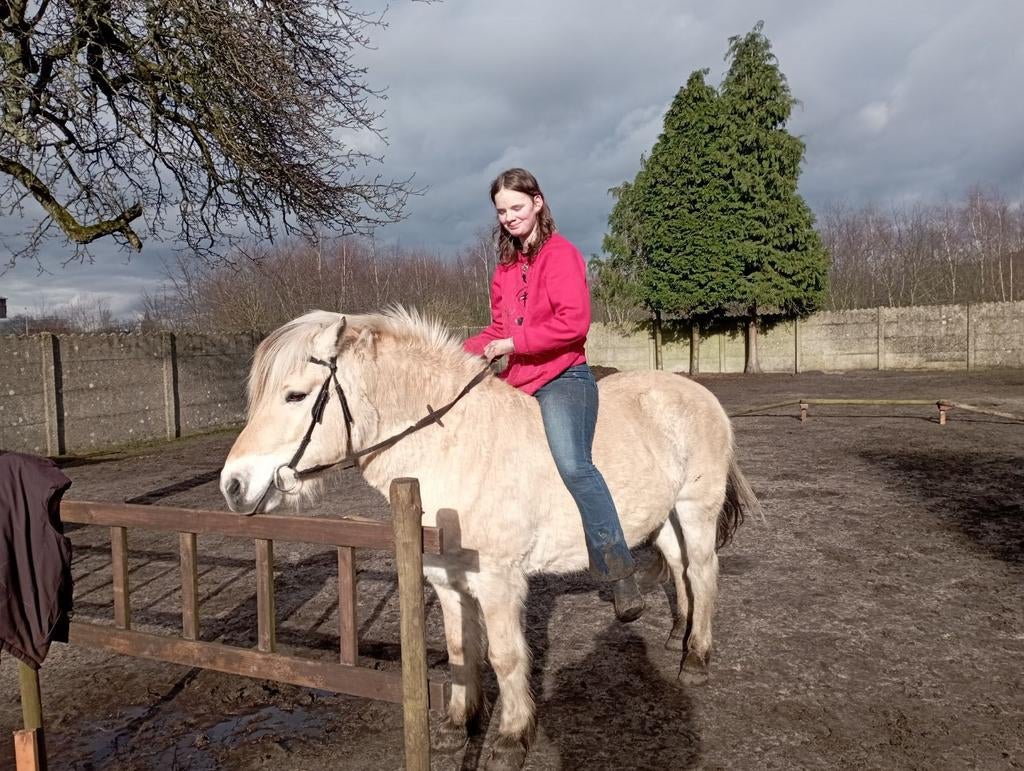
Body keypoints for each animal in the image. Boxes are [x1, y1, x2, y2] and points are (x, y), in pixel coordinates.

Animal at [220, 307, 760, 770]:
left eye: (294, 395)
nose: (232, 485)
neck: (454, 448)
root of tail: (699, 394)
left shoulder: (499, 582)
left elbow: (504, 656)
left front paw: (511, 738)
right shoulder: (446, 580)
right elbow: (462, 651)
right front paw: (458, 724)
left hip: (695, 508)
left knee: (703, 572)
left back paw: (697, 657)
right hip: (663, 517)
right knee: (681, 570)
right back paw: (678, 635)